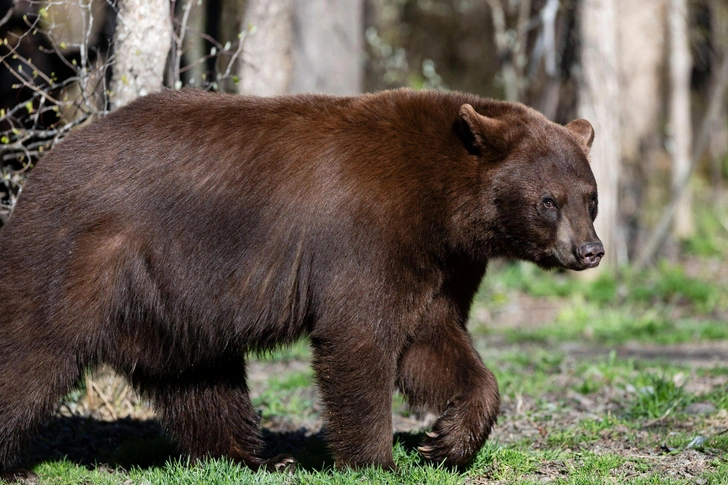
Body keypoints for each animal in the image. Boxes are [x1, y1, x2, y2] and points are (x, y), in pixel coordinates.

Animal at [0, 88, 603, 471]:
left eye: (590, 197)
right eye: (548, 201)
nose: (590, 250)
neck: (444, 205)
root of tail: (41, 167)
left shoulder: (443, 266)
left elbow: (433, 342)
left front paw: (446, 441)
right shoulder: (370, 233)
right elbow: (360, 337)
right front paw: (376, 461)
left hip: (169, 306)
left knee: (200, 382)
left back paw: (261, 458)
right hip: (77, 258)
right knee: (28, 354)